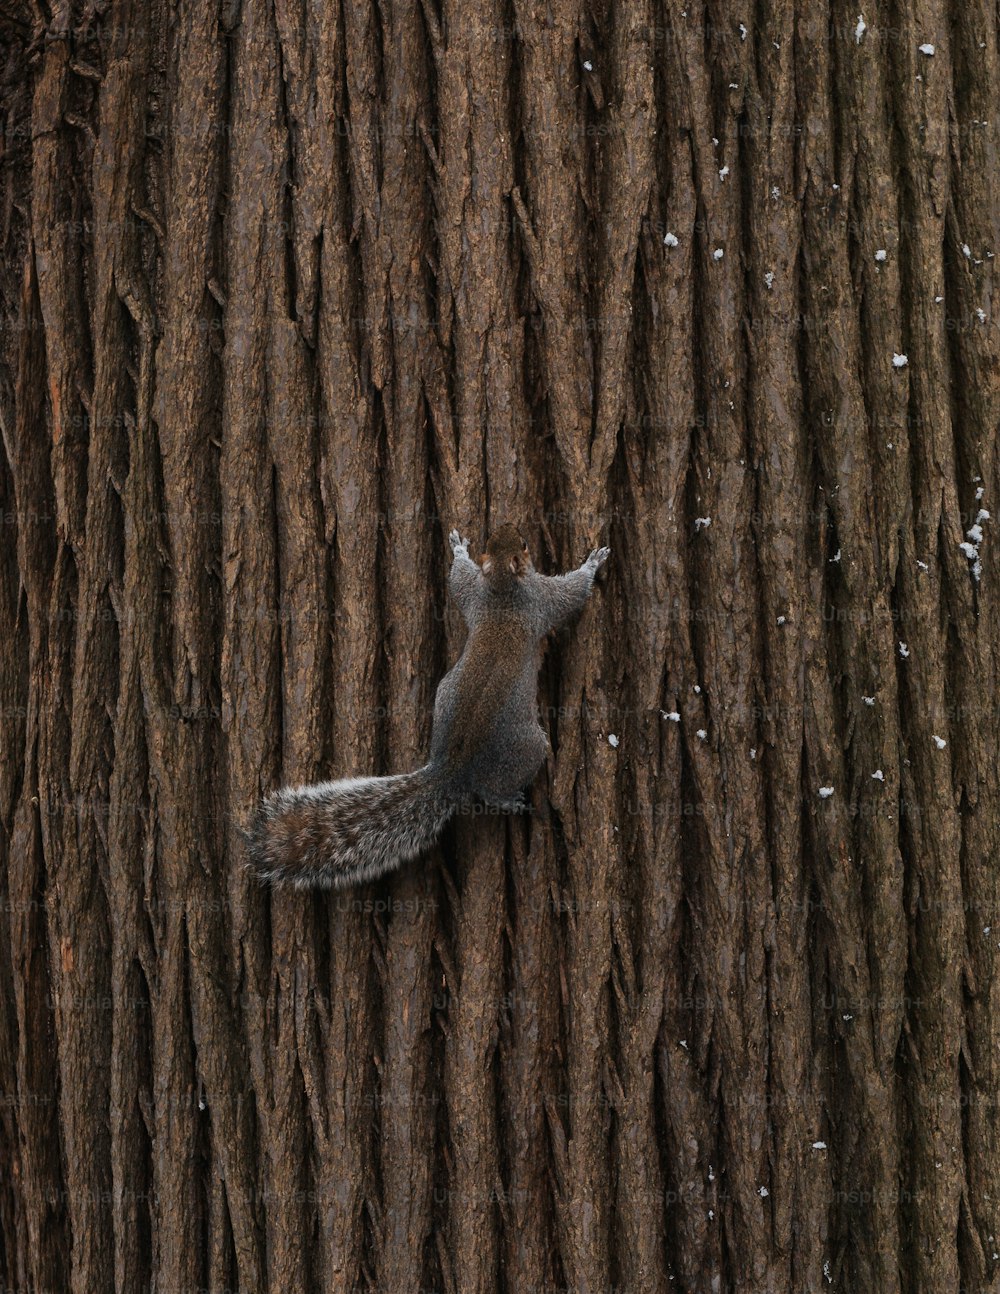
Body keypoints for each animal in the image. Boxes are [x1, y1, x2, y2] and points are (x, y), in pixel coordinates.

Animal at [243, 525, 608, 890]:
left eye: (499, 541)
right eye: (524, 544)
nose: (512, 529)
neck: (502, 587)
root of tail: (451, 768)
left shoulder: (477, 595)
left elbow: (459, 583)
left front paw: (459, 550)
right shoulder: (540, 598)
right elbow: (571, 594)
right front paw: (593, 563)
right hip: (526, 747)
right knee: (493, 789)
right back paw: (509, 799)